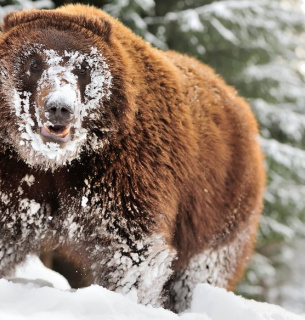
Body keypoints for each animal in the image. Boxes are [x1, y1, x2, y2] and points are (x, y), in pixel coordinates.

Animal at [0, 4, 264, 312]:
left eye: (82, 67)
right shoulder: (17, 177)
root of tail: (238, 100)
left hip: (218, 206)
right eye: (34, 63)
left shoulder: (125, 171)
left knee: (200, 272)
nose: (59, 107)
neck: (56, 162)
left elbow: (133, 253)